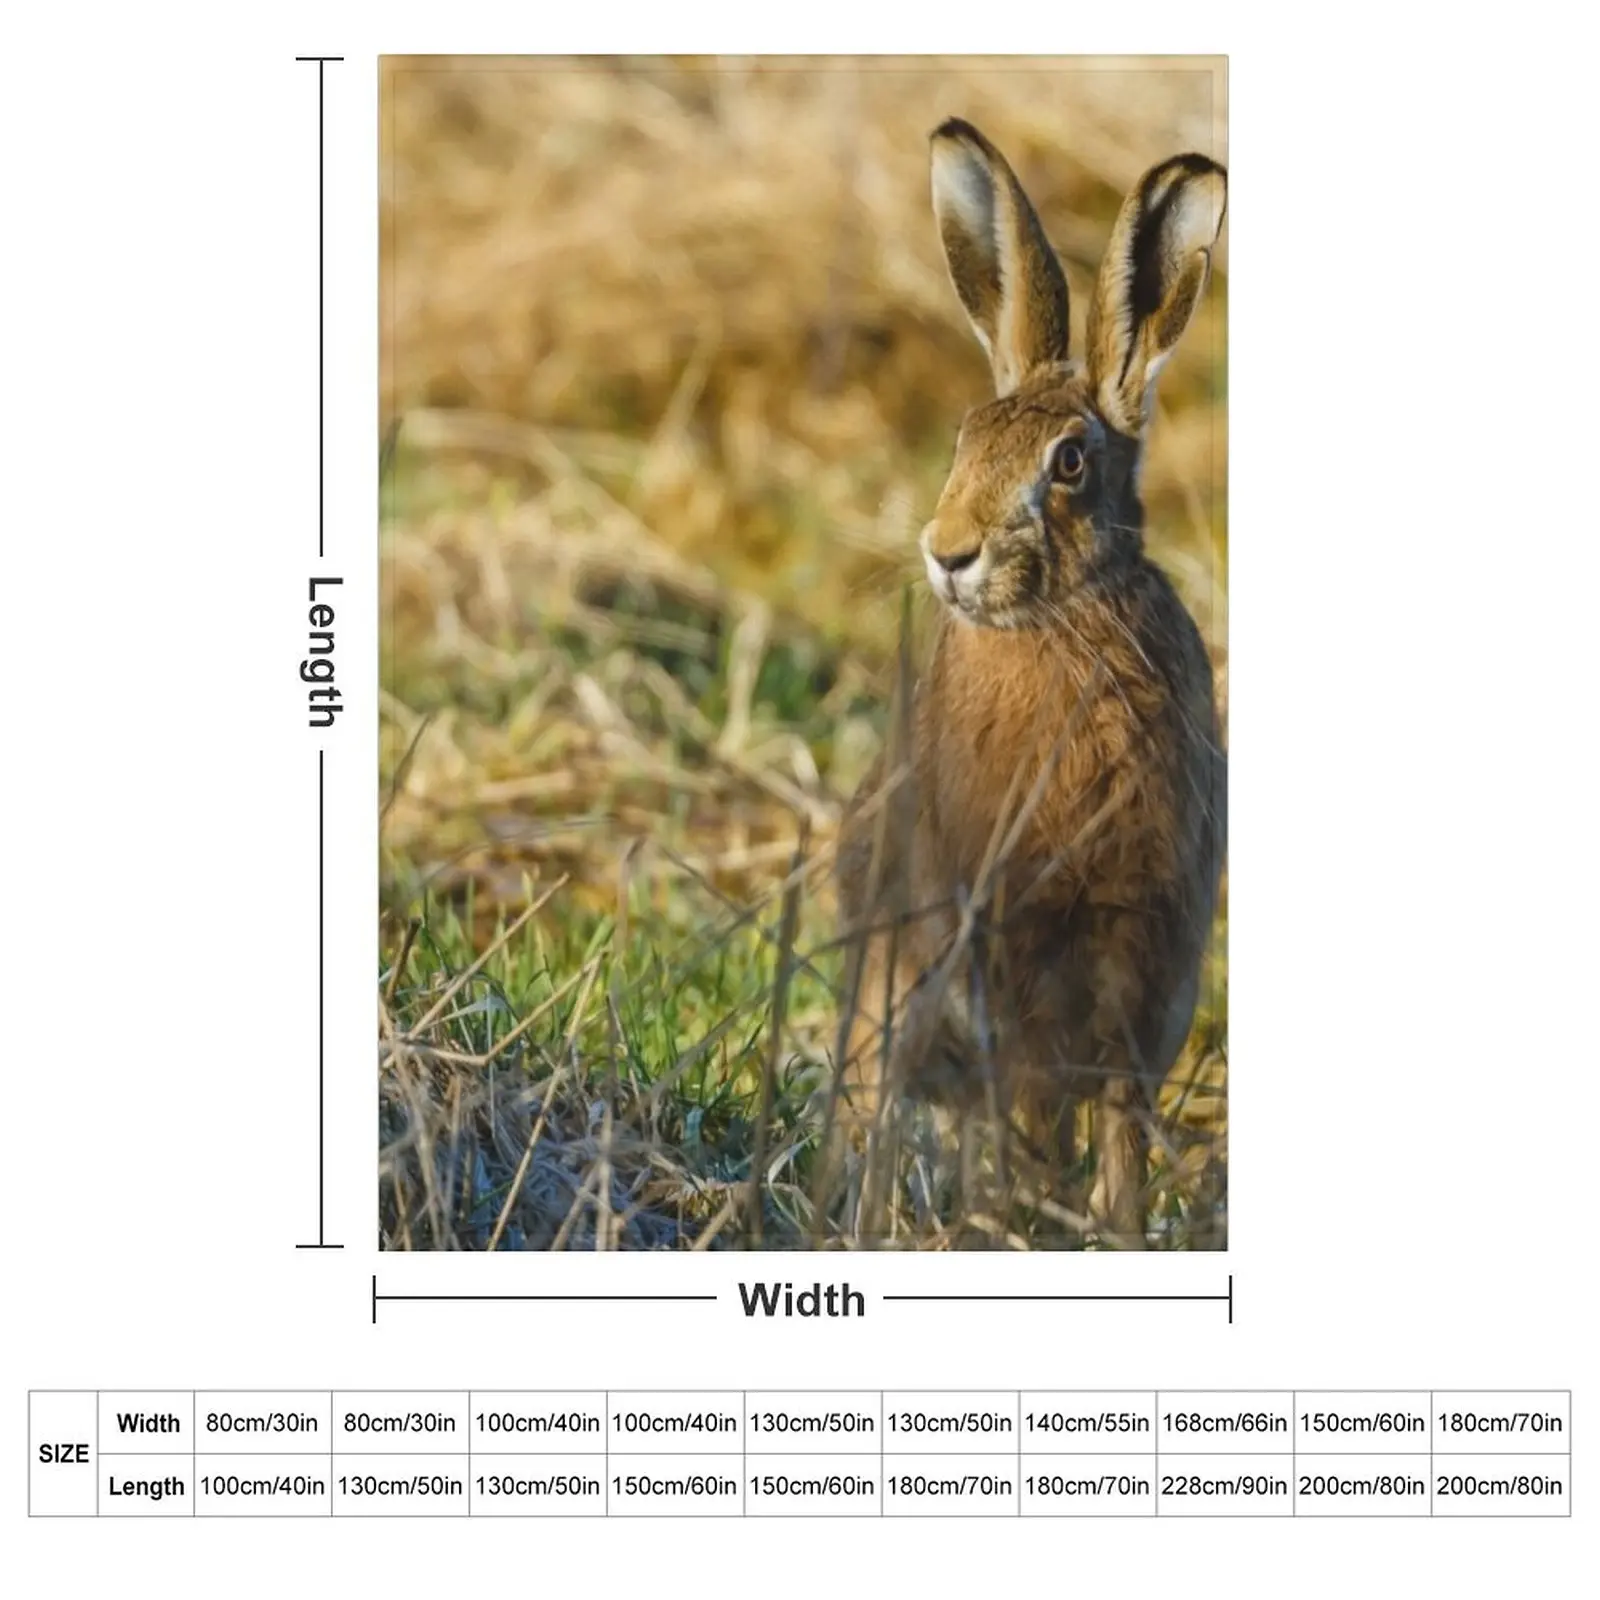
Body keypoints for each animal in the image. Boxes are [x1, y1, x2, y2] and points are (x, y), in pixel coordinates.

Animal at [833, 119, 1227, 1249]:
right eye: (964, 439)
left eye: (1068, 461)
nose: (948, 553)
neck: (1055, 623)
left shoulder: (1141, 946)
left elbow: (1118, 1116)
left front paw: (1116, 1230)